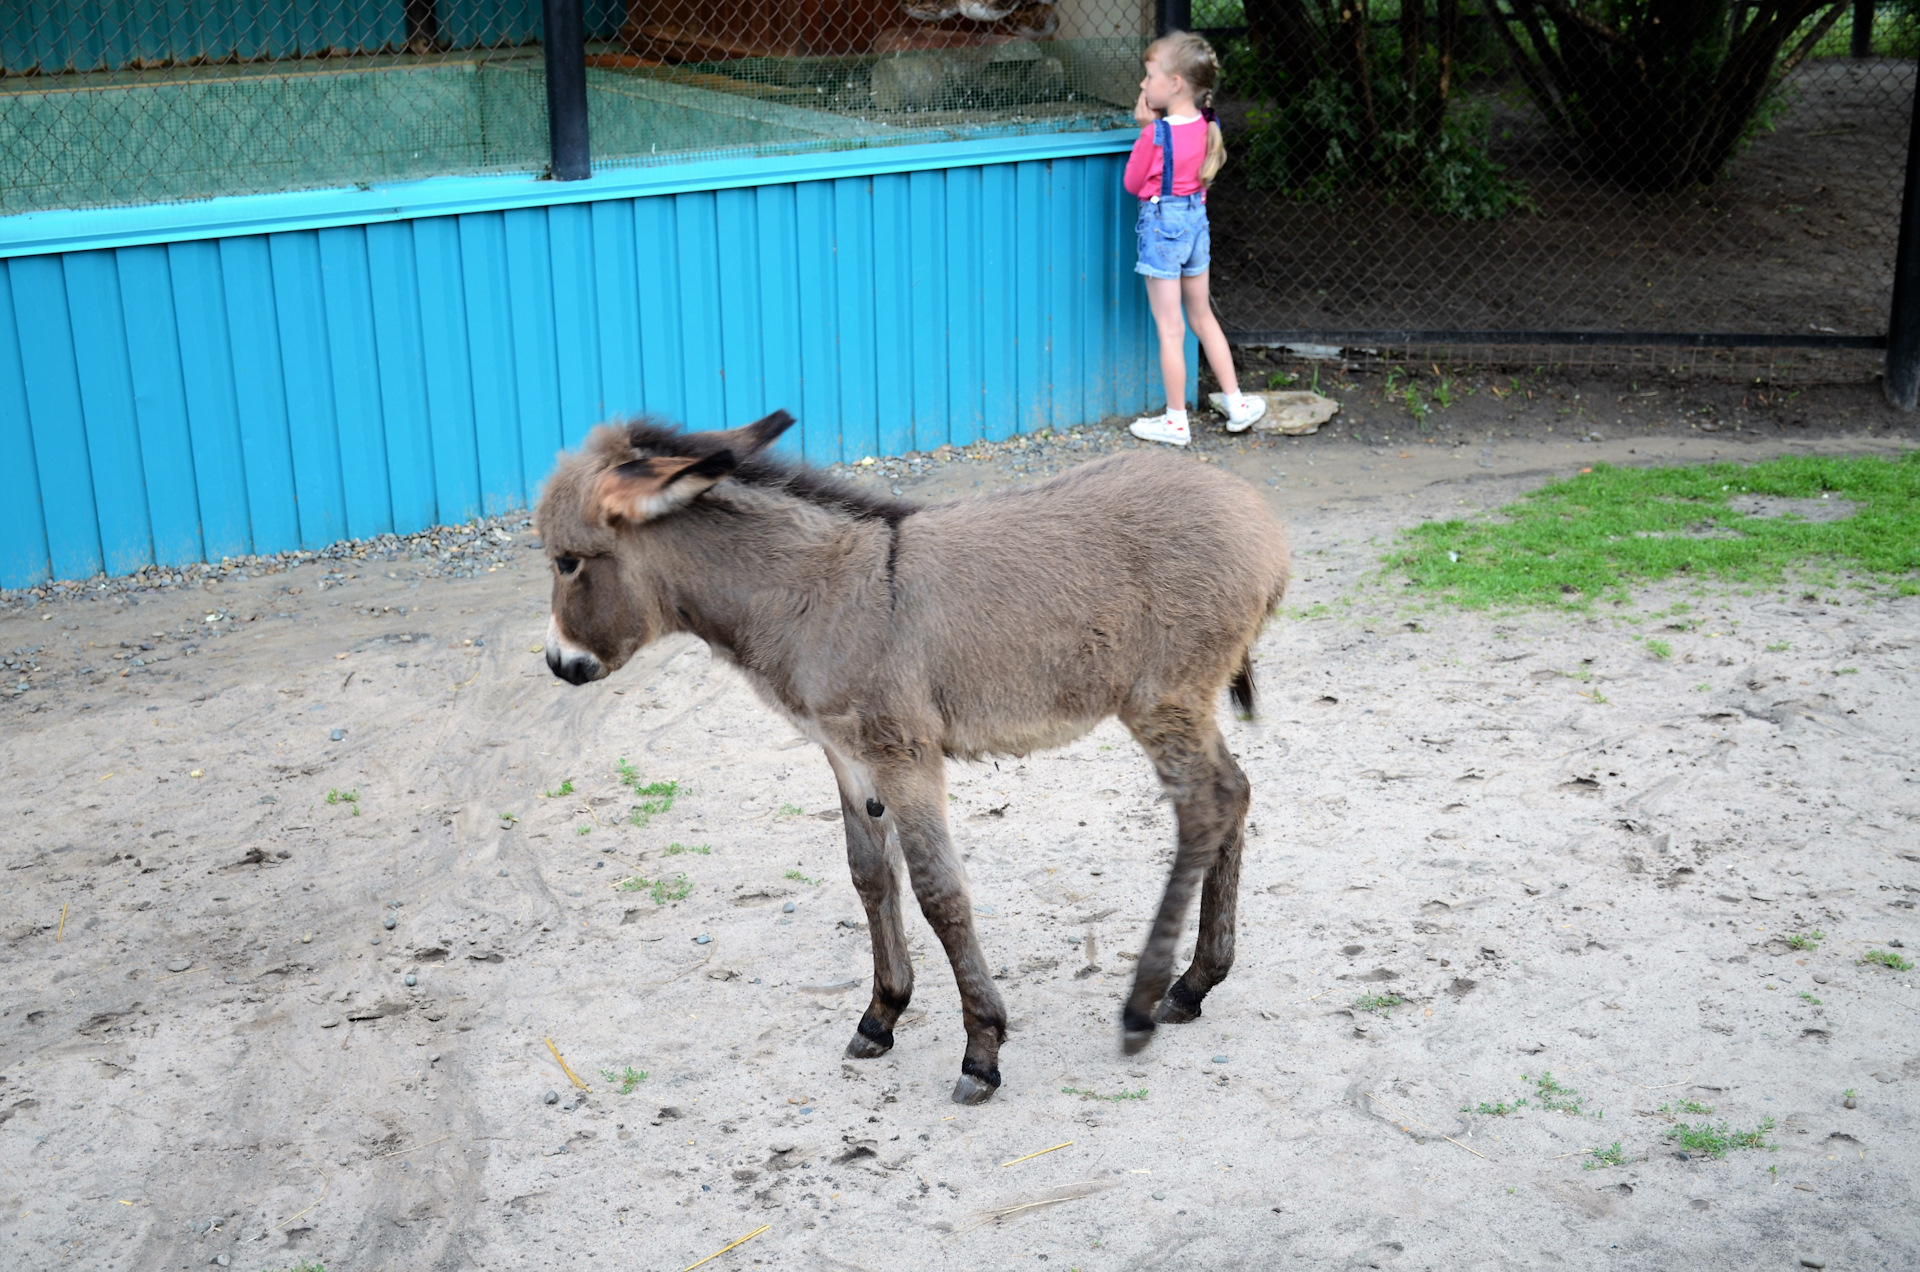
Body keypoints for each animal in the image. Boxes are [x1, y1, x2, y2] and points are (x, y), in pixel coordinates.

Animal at [537, 411, 1290, 1106]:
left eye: (567, 561)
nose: (557, 664)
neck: (814, 594)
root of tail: (1254, 514)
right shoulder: (845, 754)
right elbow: (870, 874)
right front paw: (881, 1015)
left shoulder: (906, 756)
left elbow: (938, 892)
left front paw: (981, 1049)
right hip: (1182, 702)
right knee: (1235, 793)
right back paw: (1194, 985)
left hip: (1161, 699)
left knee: (1205, 807)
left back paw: (1141, 1007)